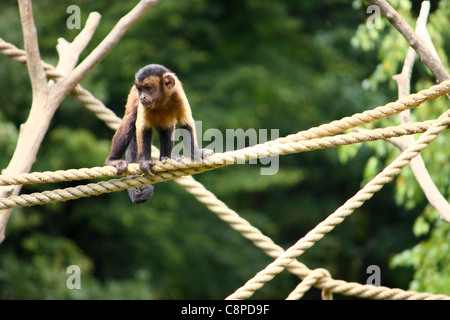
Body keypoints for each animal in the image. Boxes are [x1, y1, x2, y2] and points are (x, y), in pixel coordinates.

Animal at [106, 64, 214, 204]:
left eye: (148, 88)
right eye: (141, 89)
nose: (142, 97)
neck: (161, 101)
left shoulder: (177, 94)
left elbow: (185, 123)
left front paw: (195, 153)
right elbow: (142, 127)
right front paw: (145, 161)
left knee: (166, 128)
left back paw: (165, 157)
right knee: (131, 119)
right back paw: (113, 160)